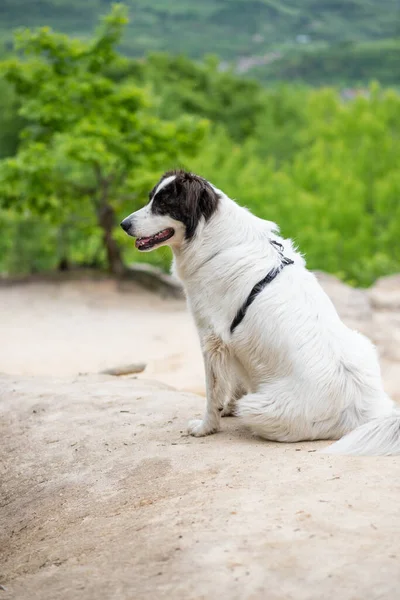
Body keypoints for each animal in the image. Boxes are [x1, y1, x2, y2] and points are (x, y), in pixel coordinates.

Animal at [121, 169, 400, 454]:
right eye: (150, 198)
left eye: (164, 204)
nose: (123, 224)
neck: (212, 238)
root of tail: (368, 413)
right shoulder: (231, 343)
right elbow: (234, 382)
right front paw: (227, 409)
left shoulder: (211, 338)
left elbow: (213, 391)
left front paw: (206, 427)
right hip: (362, 343)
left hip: (256, 407)